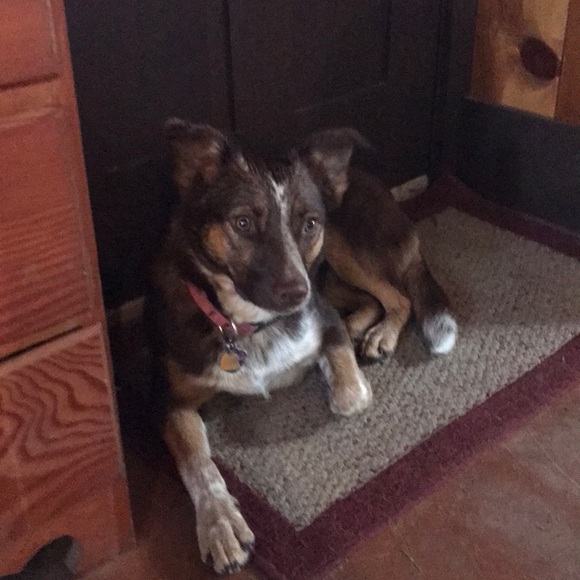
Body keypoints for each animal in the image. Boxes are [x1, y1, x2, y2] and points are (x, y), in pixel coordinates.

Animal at [149, 120, 374, 574]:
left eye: (310, 223)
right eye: (242, 223)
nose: (296, 293)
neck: (245, 325)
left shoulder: (322, 314)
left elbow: (350, 395)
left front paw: (342, 374)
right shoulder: (169, 401)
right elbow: (201, 467)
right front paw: (220, 523)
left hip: (342, 253)